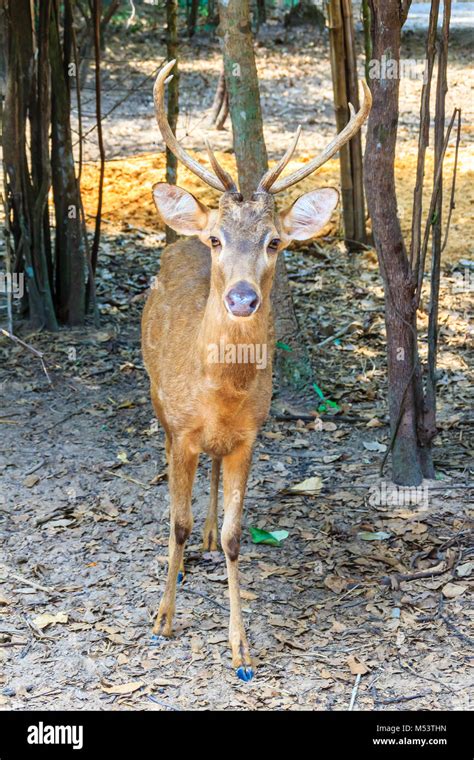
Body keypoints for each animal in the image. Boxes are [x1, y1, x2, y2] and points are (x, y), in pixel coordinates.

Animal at [141, 58, 370, 676]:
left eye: (274, 242)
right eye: (218, 239)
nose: (242, 297)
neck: (219, 396)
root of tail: (177, 236)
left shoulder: (250, 435)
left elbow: (234, 536)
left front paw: (241, 647)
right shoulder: (181, 430)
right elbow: (175, 521)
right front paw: (163, 620)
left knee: (214, 487)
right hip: (155, 398)